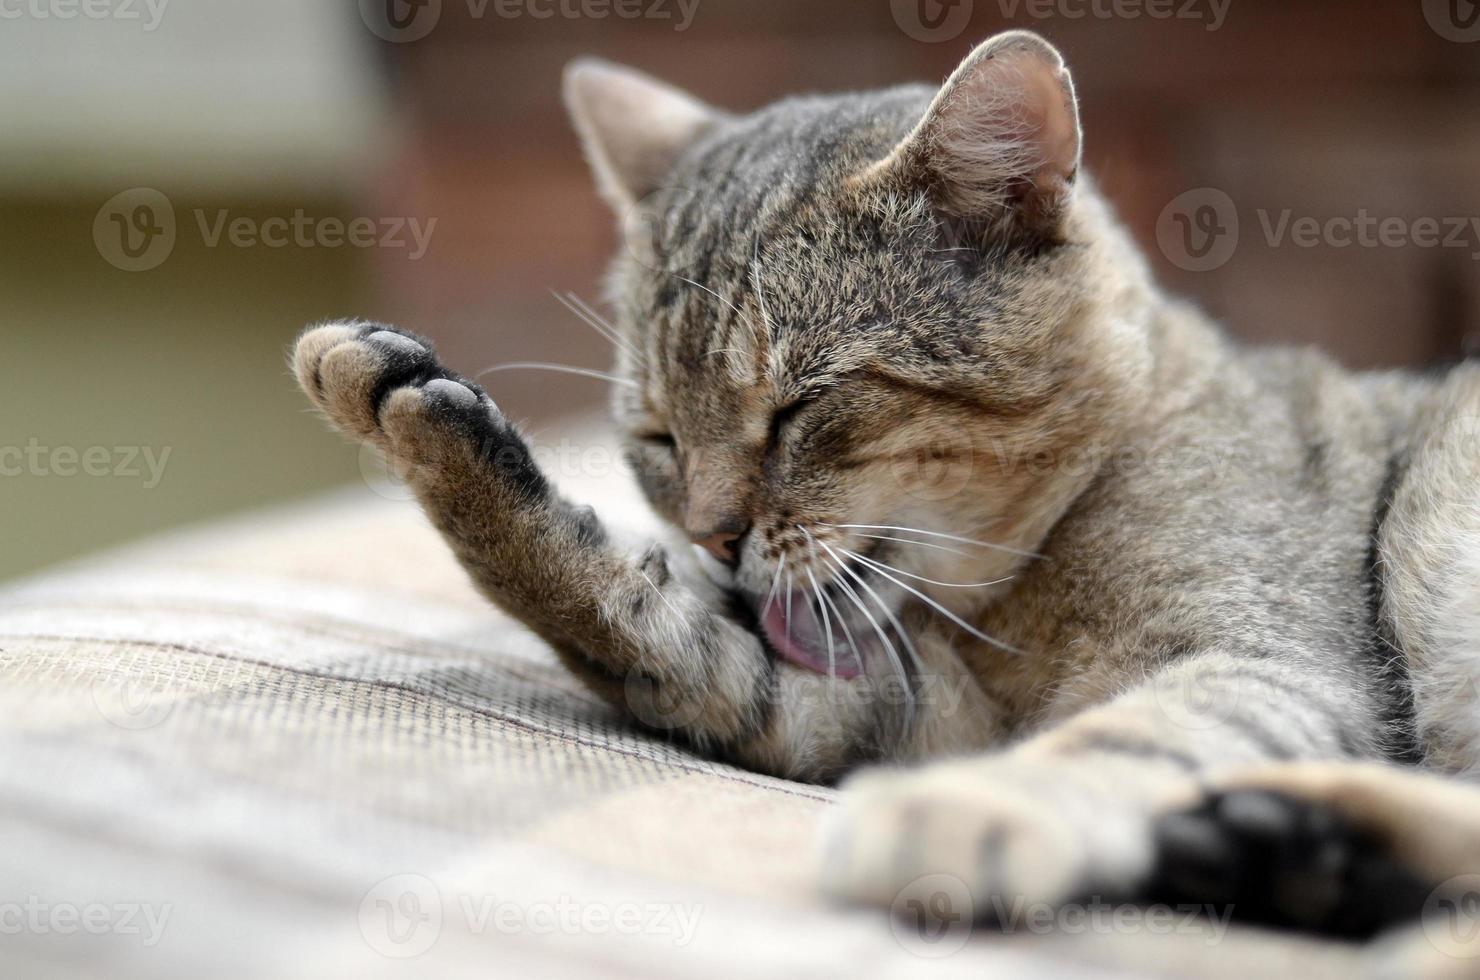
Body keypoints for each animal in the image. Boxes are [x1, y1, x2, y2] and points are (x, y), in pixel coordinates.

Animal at [294, 32, 1480, 947]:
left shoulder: (1271, 659)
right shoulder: (882, 703)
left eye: (798, 408)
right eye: (657, 436)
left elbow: (1119, 736)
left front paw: (971, 810)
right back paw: (1298, 853)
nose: (714, 536)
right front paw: (416, 418)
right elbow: (642, 627)